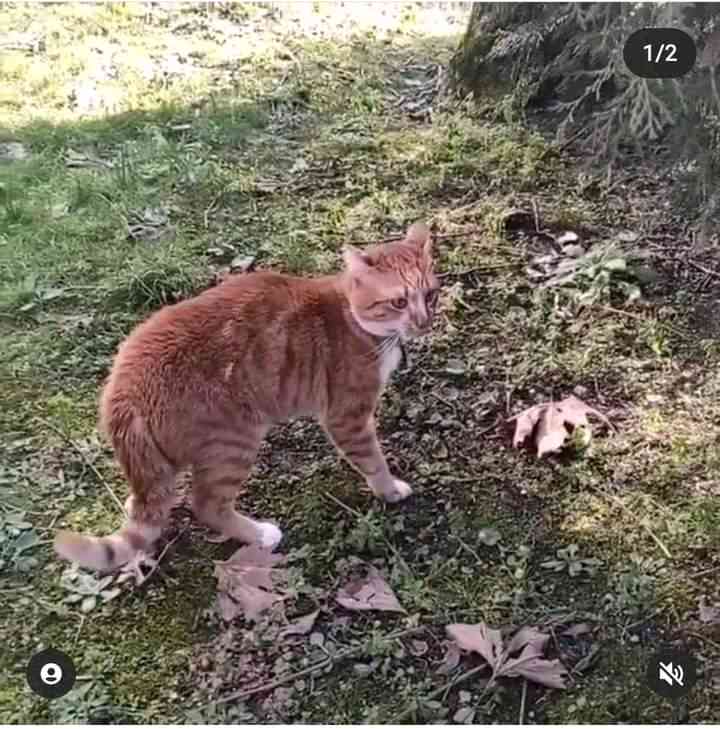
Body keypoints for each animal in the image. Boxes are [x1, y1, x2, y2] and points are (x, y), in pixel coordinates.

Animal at [54, 222, 439, 576]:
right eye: (399, 301)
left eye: (431, 295)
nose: (425, 322)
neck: (355, 319)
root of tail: (123, 388)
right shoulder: (347, 417)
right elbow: (373, 460)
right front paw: (389, 489)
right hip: (235, 442)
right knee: (207, 505)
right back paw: (260, 534)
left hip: (167, 459)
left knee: (149, 498)